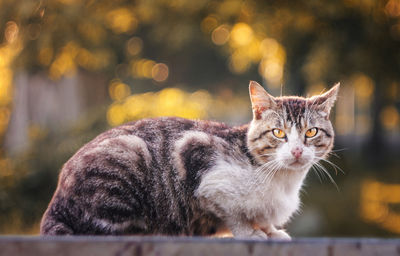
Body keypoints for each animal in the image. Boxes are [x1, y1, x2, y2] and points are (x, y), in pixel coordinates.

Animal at [40, 81, 340, 239]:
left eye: (310, 132)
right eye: (278, 133)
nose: (297, 151)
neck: (283, 181)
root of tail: (56, 203)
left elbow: (264, 218)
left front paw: (271, 231)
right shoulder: (197, 159)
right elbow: (234, 214)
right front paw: (251, 232)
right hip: (129, 154)